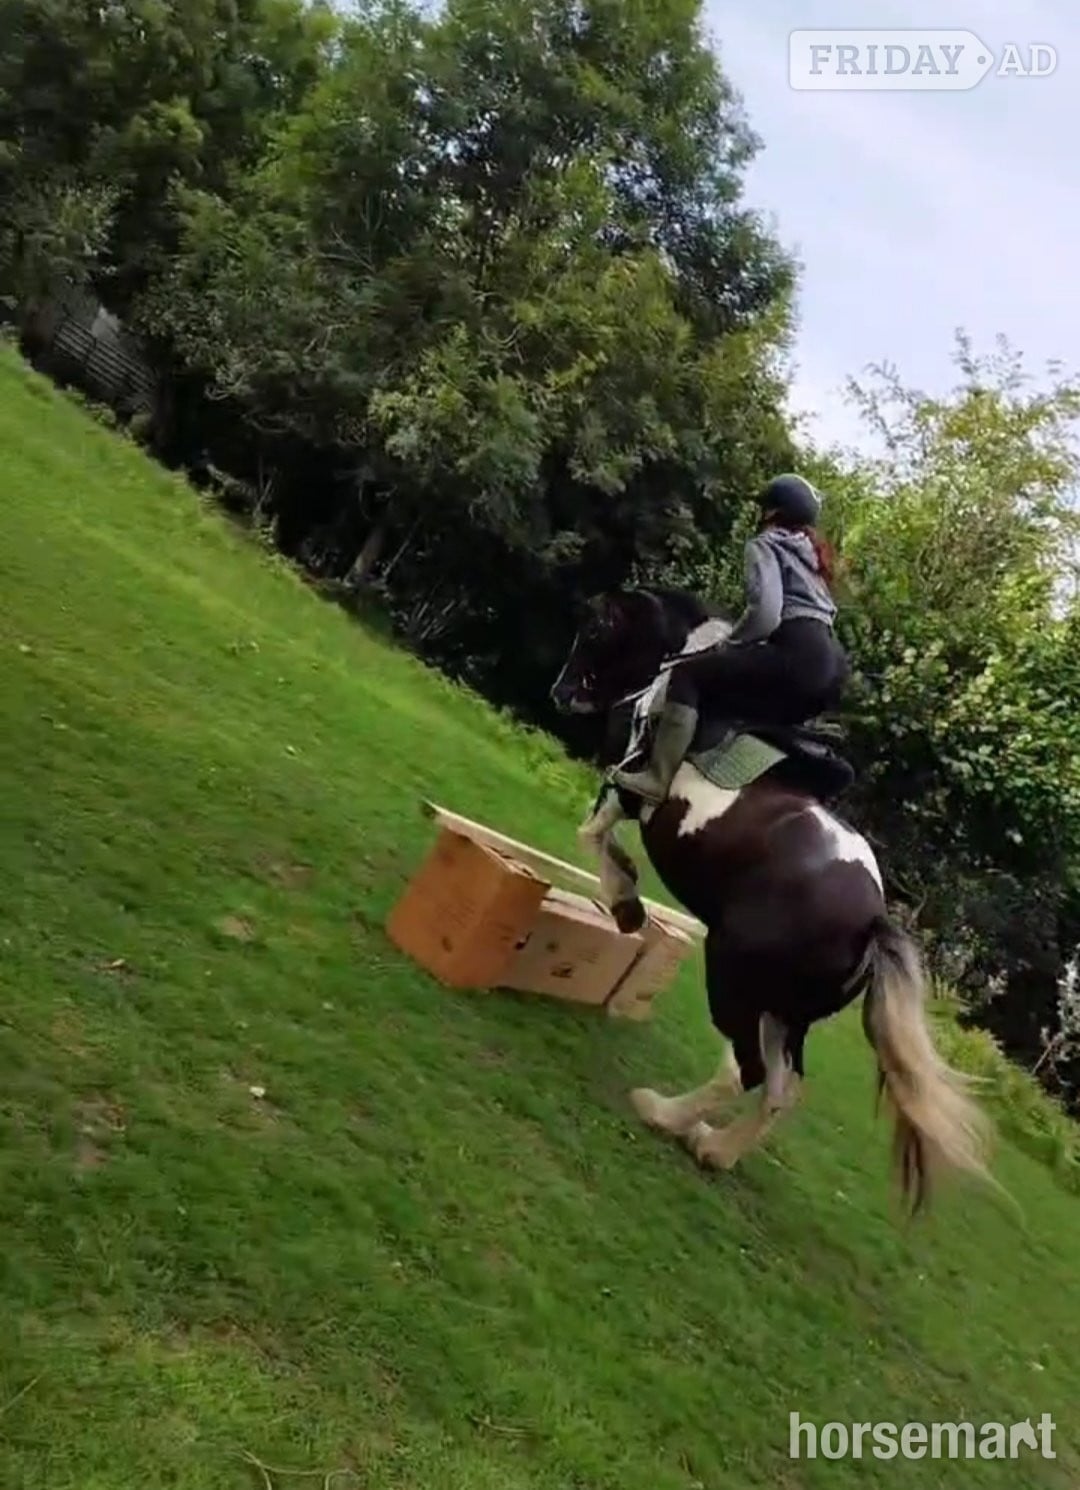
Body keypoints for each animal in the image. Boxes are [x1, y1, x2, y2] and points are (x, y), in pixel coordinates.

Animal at [550, 586, 993, 1213]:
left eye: (596, 628)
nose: (561, 692)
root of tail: (872, 922)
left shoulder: (627, 790)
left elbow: (594, 835)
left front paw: (627, 905)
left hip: (733, 976)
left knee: (747, 1069)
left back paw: (662, 1112)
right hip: (787, 1010)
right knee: (783, 1087)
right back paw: (715, 1149)